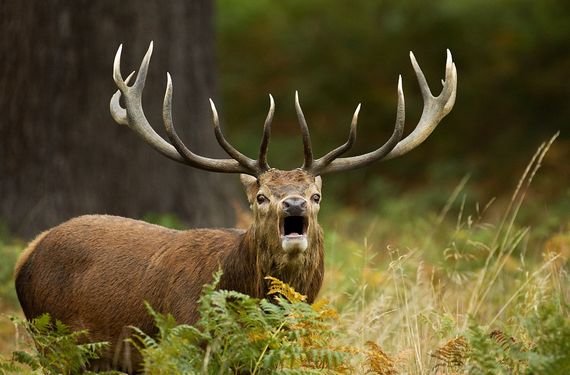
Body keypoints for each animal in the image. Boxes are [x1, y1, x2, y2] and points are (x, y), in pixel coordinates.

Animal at [13, 41, 454, 374]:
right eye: (261, 197)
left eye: (316, 196)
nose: (293, 202)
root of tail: (27, 253)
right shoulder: (185, 347)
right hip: (52, 343)